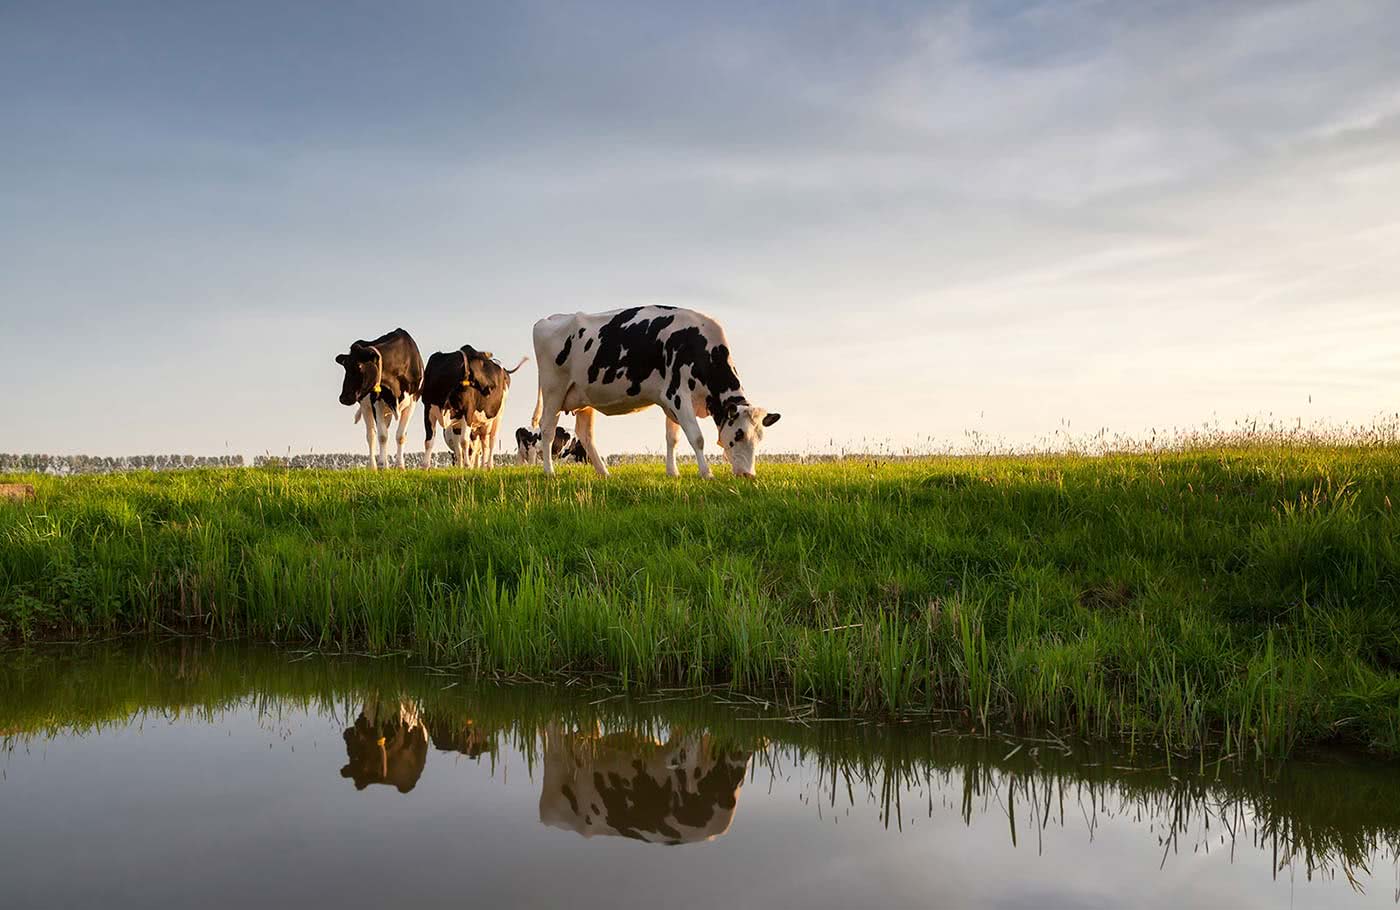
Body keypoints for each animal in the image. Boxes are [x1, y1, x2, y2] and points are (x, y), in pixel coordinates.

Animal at [335, 328, 424, 470]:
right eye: (345, 367)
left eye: (359, 366)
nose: (344, 398)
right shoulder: (375, 402)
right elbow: (382, 436)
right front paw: (382, 465)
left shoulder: (412, 401)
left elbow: (400, 436)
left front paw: (400, 466)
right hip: (366, 405)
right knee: (371, 435)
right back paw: (373, 466)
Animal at [530, 307, 780, 478]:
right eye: (738, 434)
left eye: (760, 438)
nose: (748, 475)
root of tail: (548, 319)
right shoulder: (678, 394)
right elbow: (696, 437)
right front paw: (706, 473)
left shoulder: (670, 401)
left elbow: (673, 438)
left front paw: (673, 473)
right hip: (554, 390)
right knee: (548, 429)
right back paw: (549, 472)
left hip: (584, 398)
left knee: (585, 434)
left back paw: (604, 473)